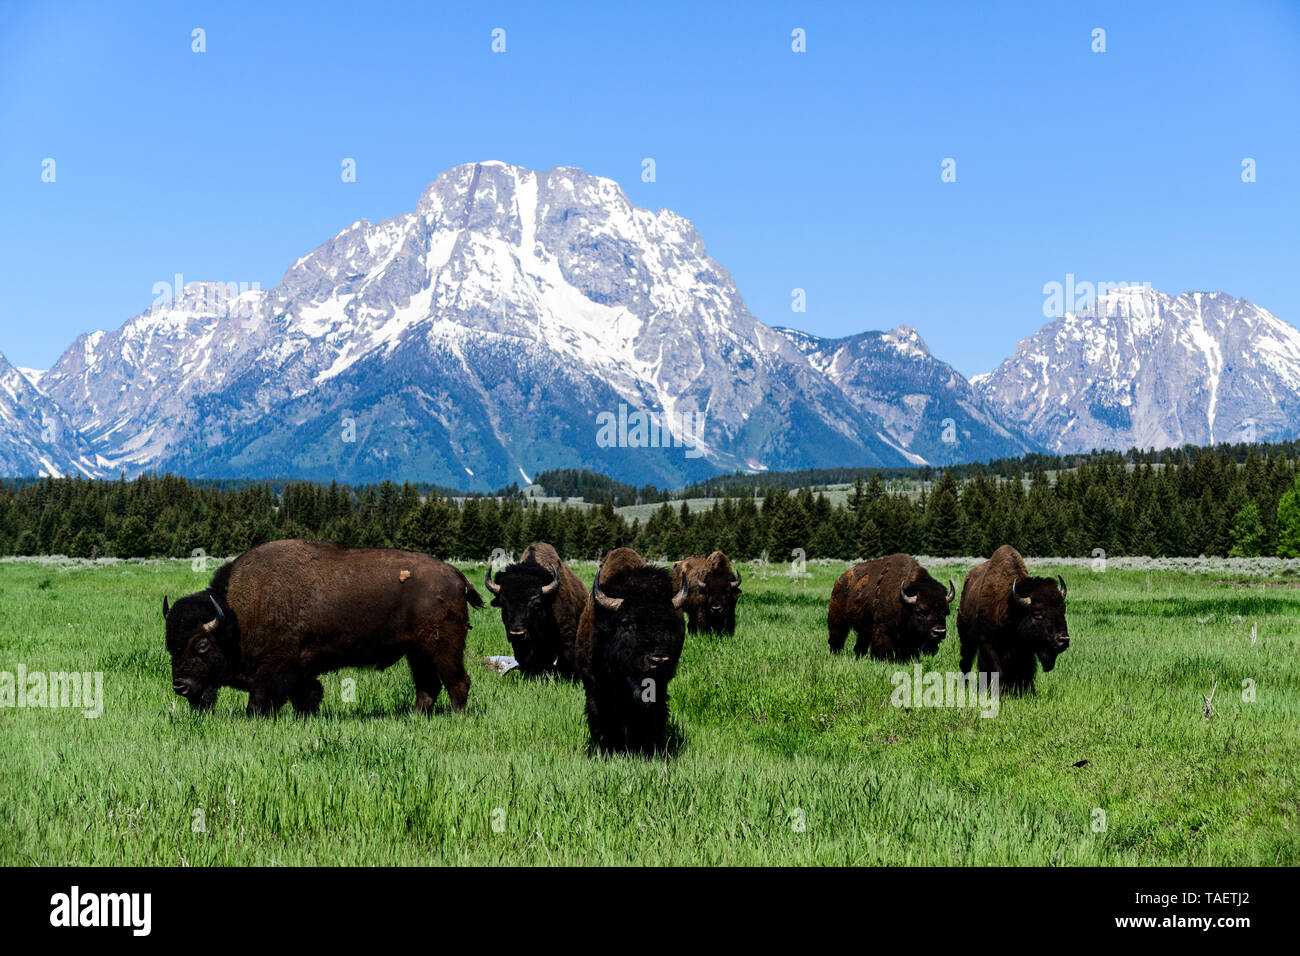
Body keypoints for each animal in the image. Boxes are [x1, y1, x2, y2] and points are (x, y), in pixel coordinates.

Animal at [161, 538, 483, 717]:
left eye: (202, 645)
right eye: (170, 646)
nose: (180, 686)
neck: (236, 617)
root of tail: (456, 574)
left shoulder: (273, 669)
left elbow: (259, 702)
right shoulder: (300, 673)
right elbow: (307, 696)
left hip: (442, 647)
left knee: (457, 682)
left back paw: (457, 717)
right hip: (417, 653)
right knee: (428, 686)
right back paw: (415, 717)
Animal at [574, 548, 686, 759]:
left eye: (668, 623)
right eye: (628, 623)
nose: (659, 660)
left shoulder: (658, 689)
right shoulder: (596, 688)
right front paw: (608, 751)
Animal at [956, 546, 1066, 697]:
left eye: (1063, 610)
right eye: (1037, 614)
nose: (1063, 639)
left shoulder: (1025, 650)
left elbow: (1026, 671)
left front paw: (1027, 692)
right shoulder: (988, 644)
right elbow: (997, 669)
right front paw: (1000, 694)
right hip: (967, 638)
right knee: (966, 661)